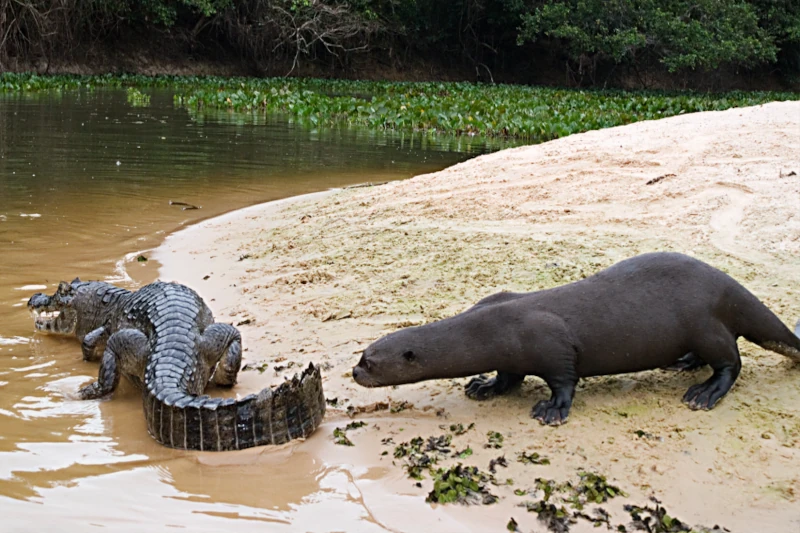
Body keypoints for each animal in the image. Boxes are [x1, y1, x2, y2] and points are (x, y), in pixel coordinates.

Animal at [352, 252, 800, 425]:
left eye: (370, 362)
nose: (354, 372)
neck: (490, 327)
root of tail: (729, 285)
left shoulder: (551, 347)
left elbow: (565, 382)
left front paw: (551, 410)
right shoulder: (511, 357)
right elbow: (507, 377)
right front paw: (484, 387)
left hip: (705, 325)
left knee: (732, 361)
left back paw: (704, 393)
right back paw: (684, 364)